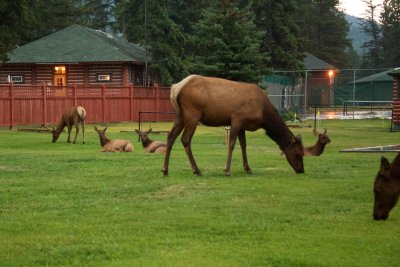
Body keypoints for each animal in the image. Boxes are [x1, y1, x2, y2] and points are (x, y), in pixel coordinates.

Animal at [161, 75, 304, 177]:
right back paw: (197, 170)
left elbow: (244, 145)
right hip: (193, 114)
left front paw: (248, 168)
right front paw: (227, 170)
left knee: (170, 136)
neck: (263, 114)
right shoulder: (237, 118)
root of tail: (175, 89)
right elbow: (231, 144)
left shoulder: (242, 125)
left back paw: (165, 169)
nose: (301, 170)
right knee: (185, 139)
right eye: (298, 153)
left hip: (179, 116)